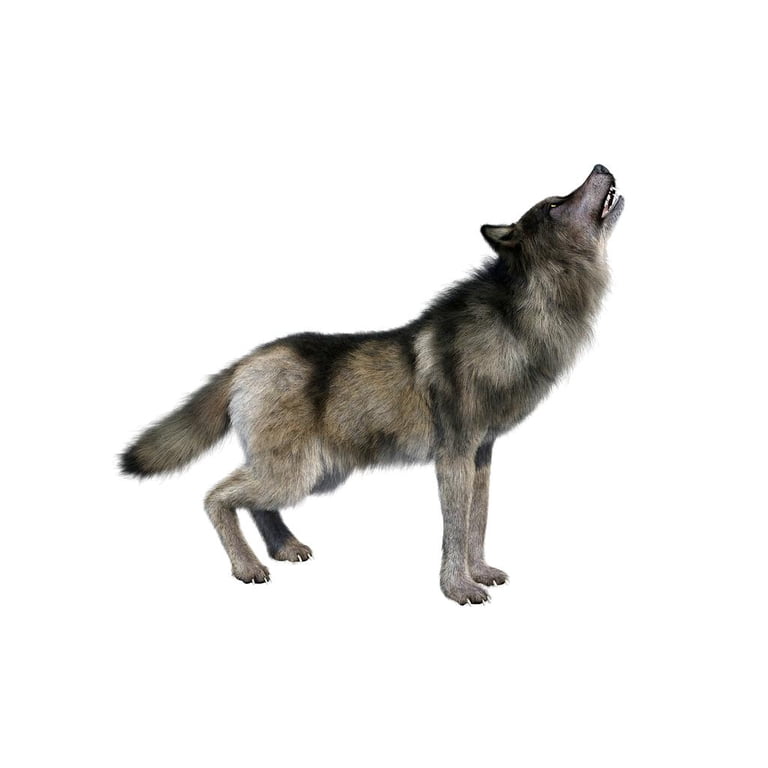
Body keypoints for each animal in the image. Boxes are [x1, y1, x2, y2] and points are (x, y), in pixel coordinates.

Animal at [121, 164, 623, 605]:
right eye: (556, 204)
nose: (601, 166)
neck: (521, 315)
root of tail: (248, 361)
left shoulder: (481, 455)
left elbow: (476, 524)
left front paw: (479, 573)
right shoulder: (454, 457)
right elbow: (455, 530)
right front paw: (458, 589)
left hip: (313, 475)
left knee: (254, 503)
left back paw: (285, 550)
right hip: (297, 474)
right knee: (215, 496)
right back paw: (247, 567)